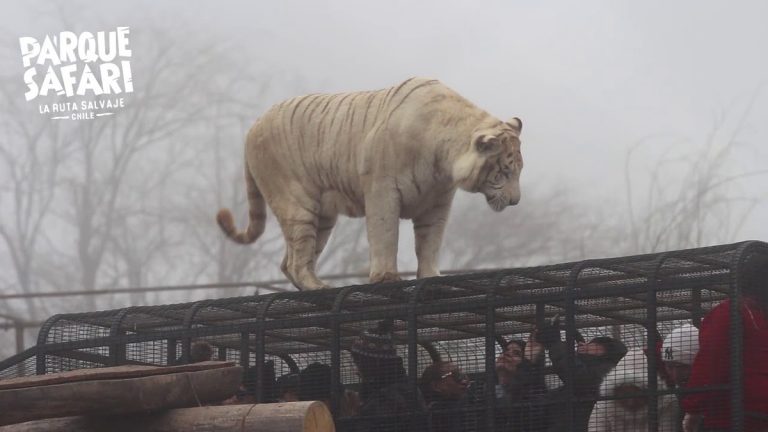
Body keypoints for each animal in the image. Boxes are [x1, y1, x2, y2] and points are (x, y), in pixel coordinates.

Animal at [219, 79, 524, 292]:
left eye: (519, 170)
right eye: (504, 172)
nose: (515, 202)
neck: (443, 157)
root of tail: (253, 127)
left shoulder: (437, 202)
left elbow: (430, 242)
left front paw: (431, 276)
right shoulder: (383, 190)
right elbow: (385, 234)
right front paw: (386, 277)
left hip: (323, 216)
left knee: (290, 261)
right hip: (297, 202)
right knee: (296, 260)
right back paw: (319, 286)